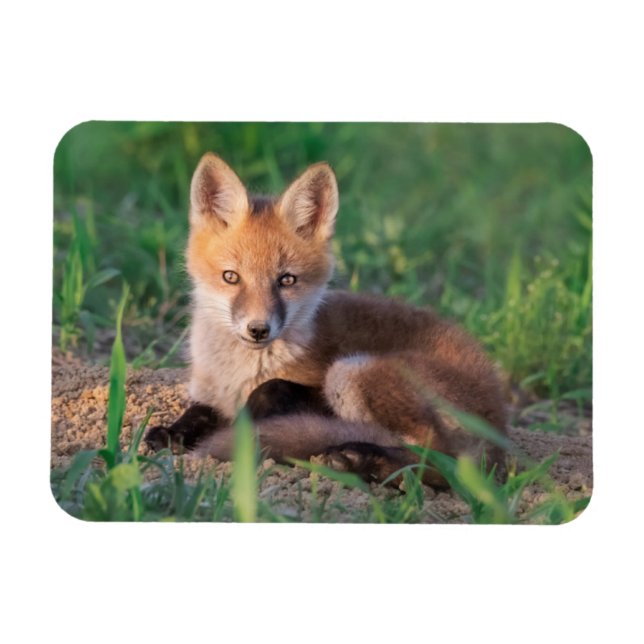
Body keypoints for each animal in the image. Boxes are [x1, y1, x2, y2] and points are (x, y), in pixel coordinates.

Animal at [145, 152, 508, 486]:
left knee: (442, 463)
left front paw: (247, 425)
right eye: (231, 277)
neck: (237, 373)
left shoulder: (312, 386)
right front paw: (173, 433)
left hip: (351, 370)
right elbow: (197, 412)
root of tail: (500, 425)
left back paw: (363, 459)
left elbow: (270, 389)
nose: (258, 329)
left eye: (287, 280)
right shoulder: (208, 393)